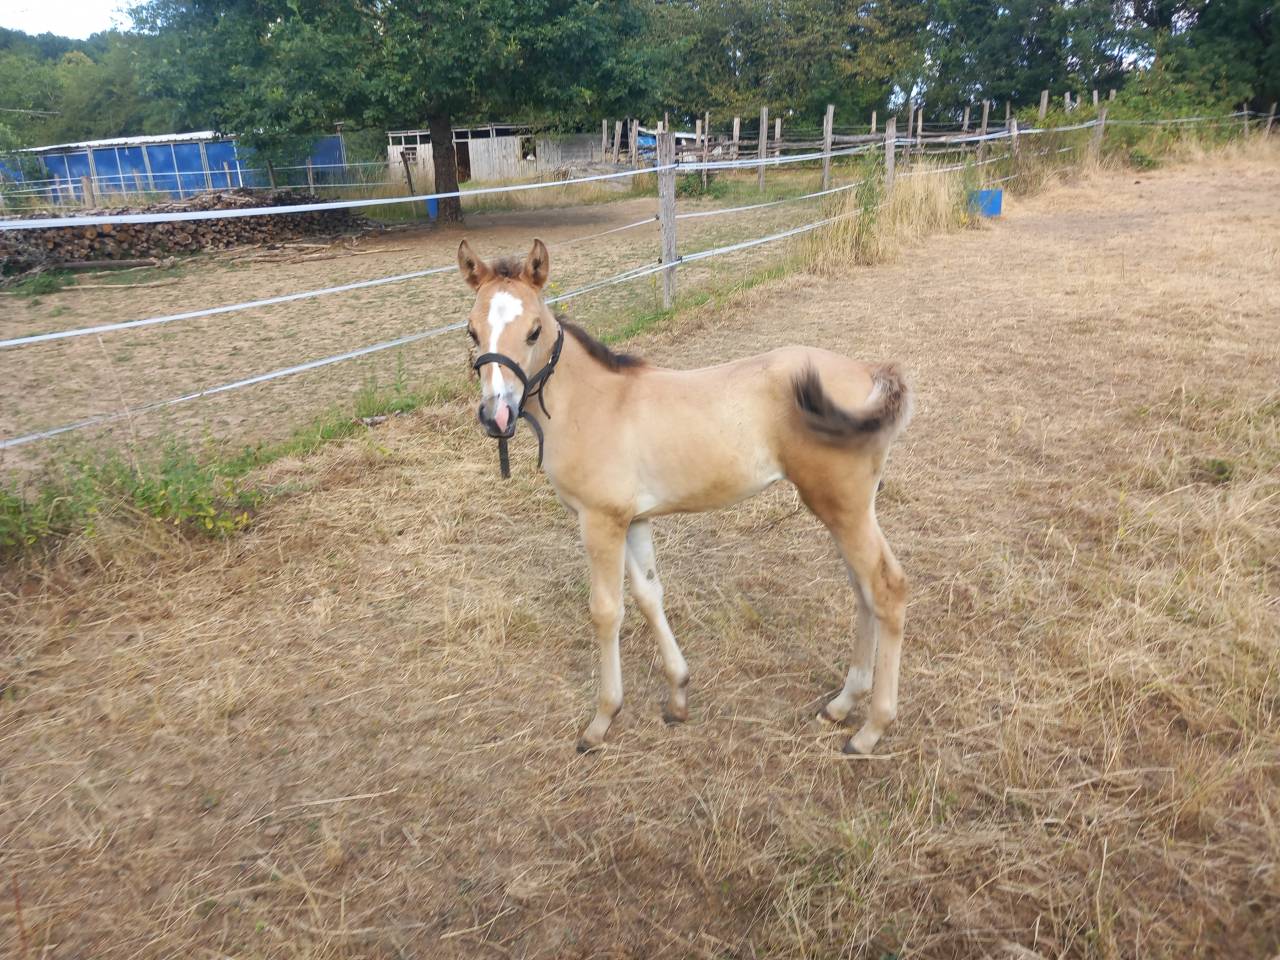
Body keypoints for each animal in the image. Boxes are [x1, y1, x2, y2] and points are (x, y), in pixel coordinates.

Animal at [457, 238, 912, 755]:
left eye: (534, 331)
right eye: (472, 331)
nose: (495, 416)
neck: (592, 403)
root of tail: (871, 373)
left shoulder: (599, 521)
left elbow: (606, 611)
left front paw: (601, 720)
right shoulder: (632, 519)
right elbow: (649, 595)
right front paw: (677, 696)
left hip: (843, 505)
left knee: (886, 589)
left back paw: (871, 729)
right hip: (846, 508)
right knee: (863, 591)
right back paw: (840, 705)